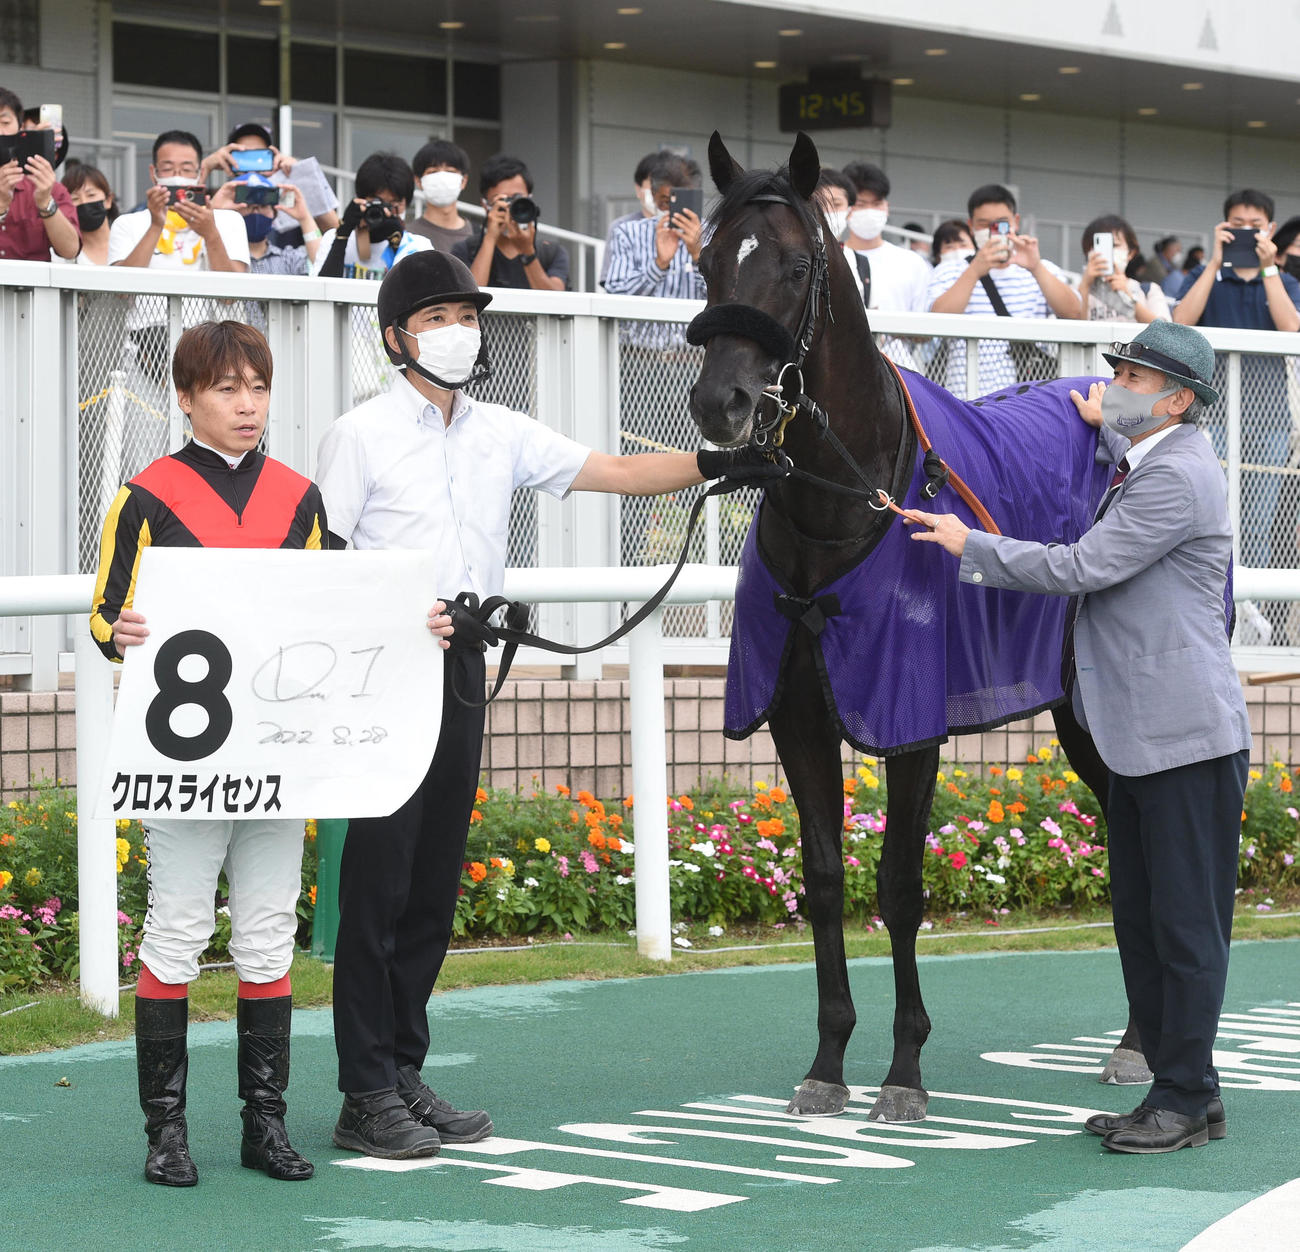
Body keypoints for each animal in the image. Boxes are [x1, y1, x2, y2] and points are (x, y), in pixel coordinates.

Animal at [685, 130, 1148, 1122]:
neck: (846, 503)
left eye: (794, 266)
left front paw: (903, 1071)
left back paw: (1141, 1041)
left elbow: (898, 885)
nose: (722, 404)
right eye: (706, 264)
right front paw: (828, 1063)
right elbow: (824, 878)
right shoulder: (798, 713)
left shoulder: (909, 720)